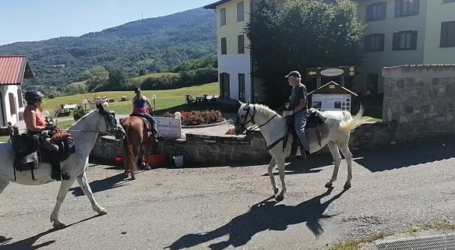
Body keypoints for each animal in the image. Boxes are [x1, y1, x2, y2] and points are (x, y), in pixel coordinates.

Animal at [235, 101, 374, 201]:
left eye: (242, 115)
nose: (236, 130)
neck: (275, 128)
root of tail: (342, 114)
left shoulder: (280, 157)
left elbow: (281, 174)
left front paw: (282, 193)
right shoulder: (275, 156)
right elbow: (269, 170)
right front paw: (275, 189)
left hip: (341, 143)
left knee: (349, 158)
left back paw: (347, 183)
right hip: (331, 143)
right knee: (337, 159)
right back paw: (330, 182)